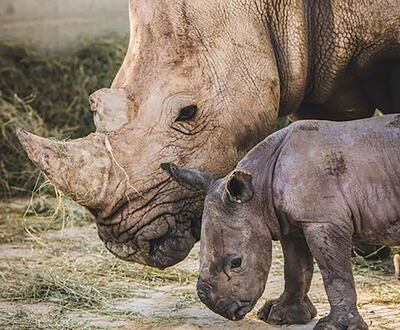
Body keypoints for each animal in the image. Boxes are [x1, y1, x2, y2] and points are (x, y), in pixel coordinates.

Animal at [162, 114, 400, 330]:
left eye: (236, 262)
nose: (218, 307)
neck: (259, 188)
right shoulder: (291, 221)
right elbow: (296, 267)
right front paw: (280, 315)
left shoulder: (323, 220)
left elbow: (335, 273)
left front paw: (334, 326)